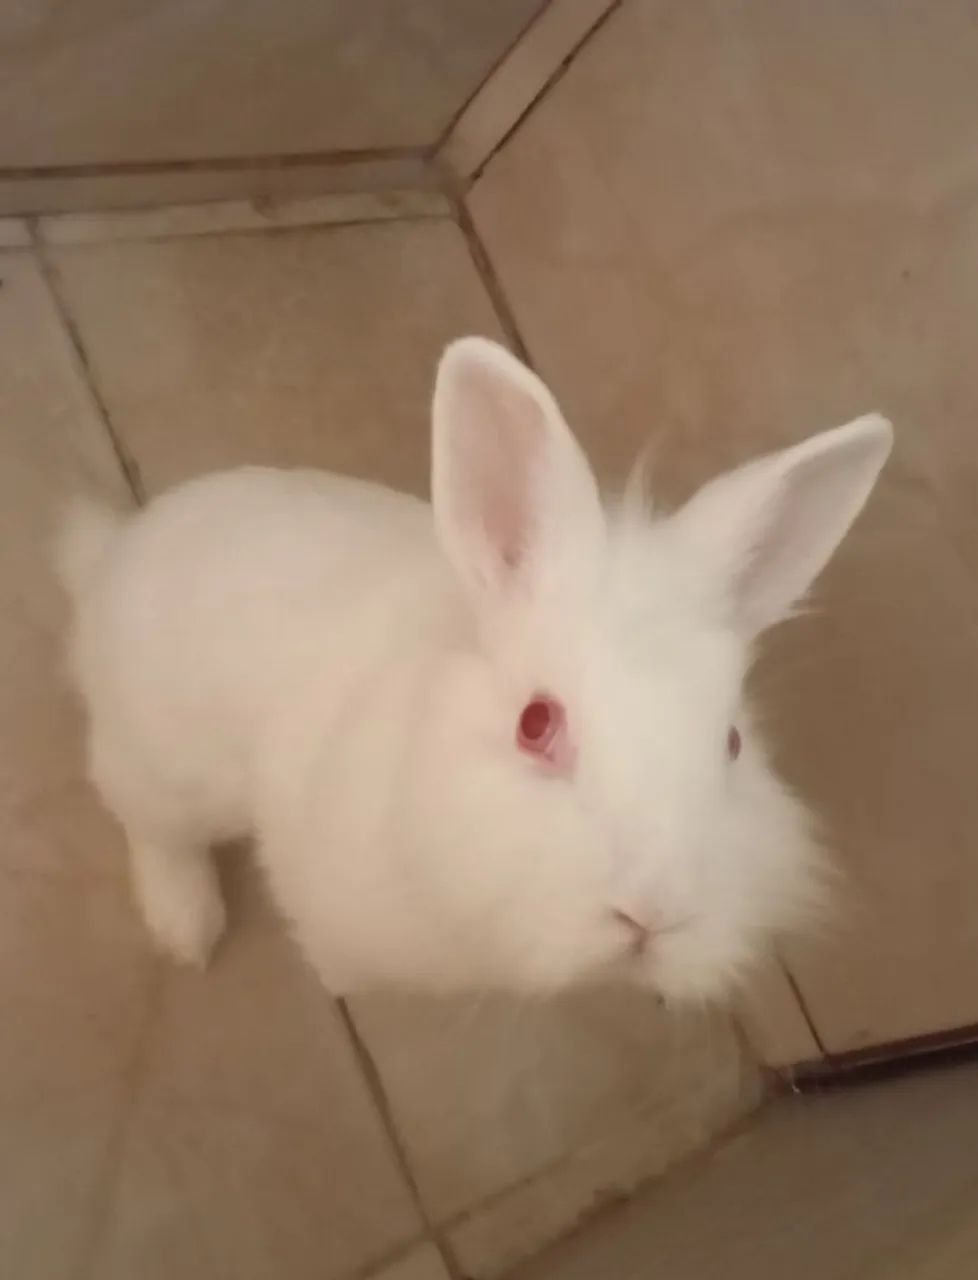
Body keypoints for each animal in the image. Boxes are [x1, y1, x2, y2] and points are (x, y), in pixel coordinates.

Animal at [58, 336, 892, 1003]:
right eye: (535, 723)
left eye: (732, 744)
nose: (652, 914)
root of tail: (109, 558)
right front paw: (336, 983)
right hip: (163, 766)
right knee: (145, 823)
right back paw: (187, 929)